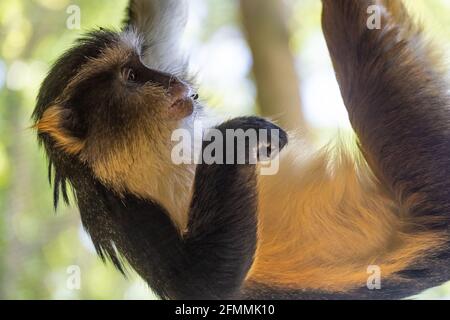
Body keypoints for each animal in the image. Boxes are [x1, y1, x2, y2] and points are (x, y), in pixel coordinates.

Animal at [32, 0, 450, 300]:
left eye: (143, 64)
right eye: (132, 76)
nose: (174, 81)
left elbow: (158, 21)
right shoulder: (126, 211)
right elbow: (204, 282)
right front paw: (238, 134)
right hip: (419, 158)